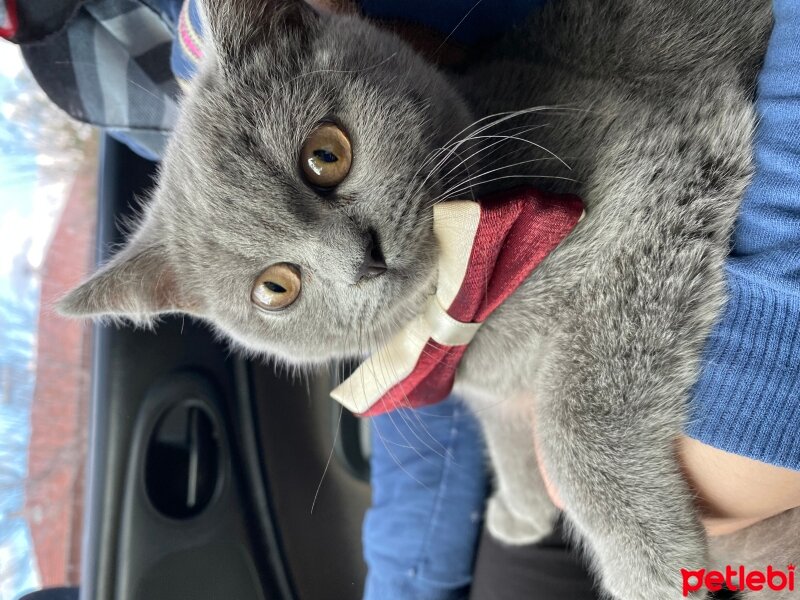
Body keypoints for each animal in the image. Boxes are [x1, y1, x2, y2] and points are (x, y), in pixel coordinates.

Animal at [59, 0, 792, 596]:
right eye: (274, 288)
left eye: (326, 154)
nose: (363, 259)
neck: (461, 297)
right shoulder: (489, 383)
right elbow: (506, 430)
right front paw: (522, 507)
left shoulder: (660, 180)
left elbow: (572, 416)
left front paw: (650, 566)